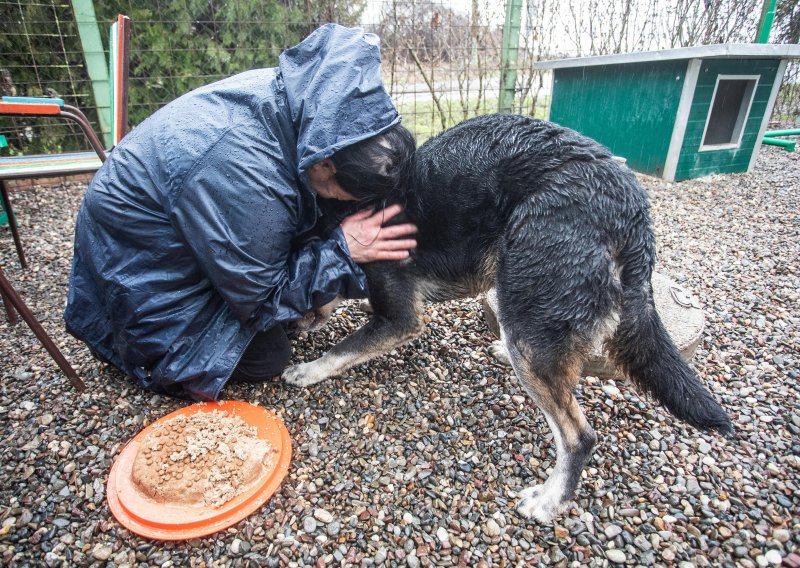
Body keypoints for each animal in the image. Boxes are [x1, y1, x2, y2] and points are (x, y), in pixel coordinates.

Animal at [282, 114, 732, 524]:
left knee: (579, 436)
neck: (341, 226)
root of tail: (631, 210)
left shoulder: (399, 319)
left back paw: (551, 501)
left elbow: (344, 348)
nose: (288, 330)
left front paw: (307, 369)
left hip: (527, 313)